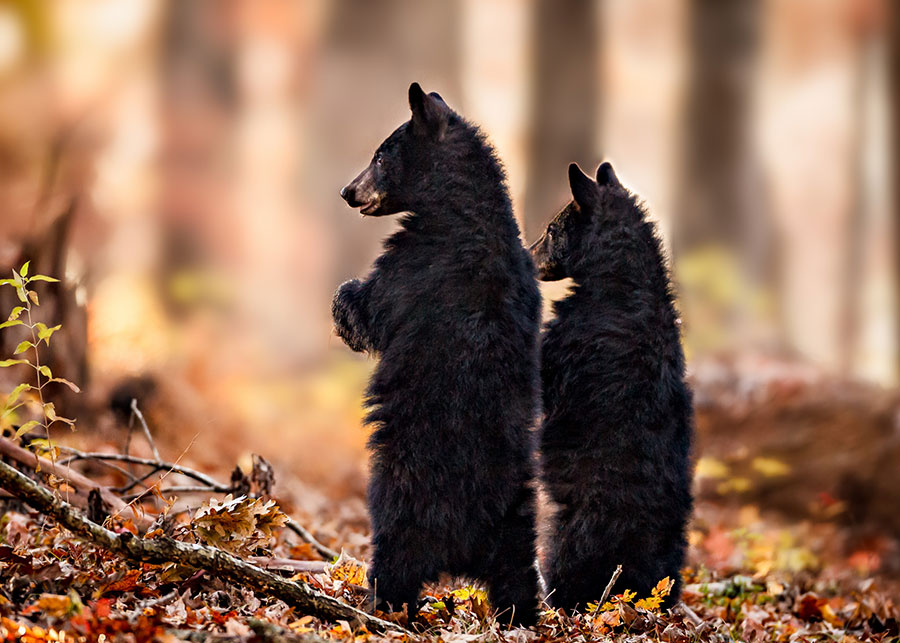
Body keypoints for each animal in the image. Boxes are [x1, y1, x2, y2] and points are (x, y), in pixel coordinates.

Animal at [332, 83, 542, 625]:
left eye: (381, 156)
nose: (347, 191)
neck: (465, 211)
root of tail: (466, 545)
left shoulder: (416, 264)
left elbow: (373, 305)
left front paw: (344, 303)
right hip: (518, 522)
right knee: (519, 574)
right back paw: (522, 615)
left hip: (397, 499)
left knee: (394, 560)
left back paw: (381, 604)